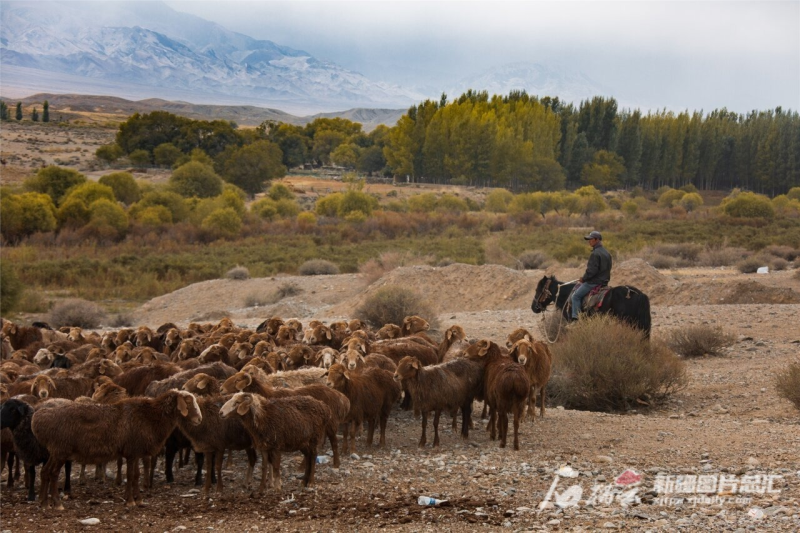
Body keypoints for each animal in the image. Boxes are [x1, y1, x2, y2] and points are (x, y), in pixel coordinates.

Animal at [31, 390, 202, 508]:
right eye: (188, 401)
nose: (199, 419)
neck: (152, 417)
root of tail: (37, 419)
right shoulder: (132, 452)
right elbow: (131, 475)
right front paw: (131, 501)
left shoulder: (135, 452)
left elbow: (136, 475)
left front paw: (138, 500)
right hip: (61, 451)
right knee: (53, 474)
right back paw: (57, 504)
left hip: (55, 452)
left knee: (45, 472)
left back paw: (44, 503)